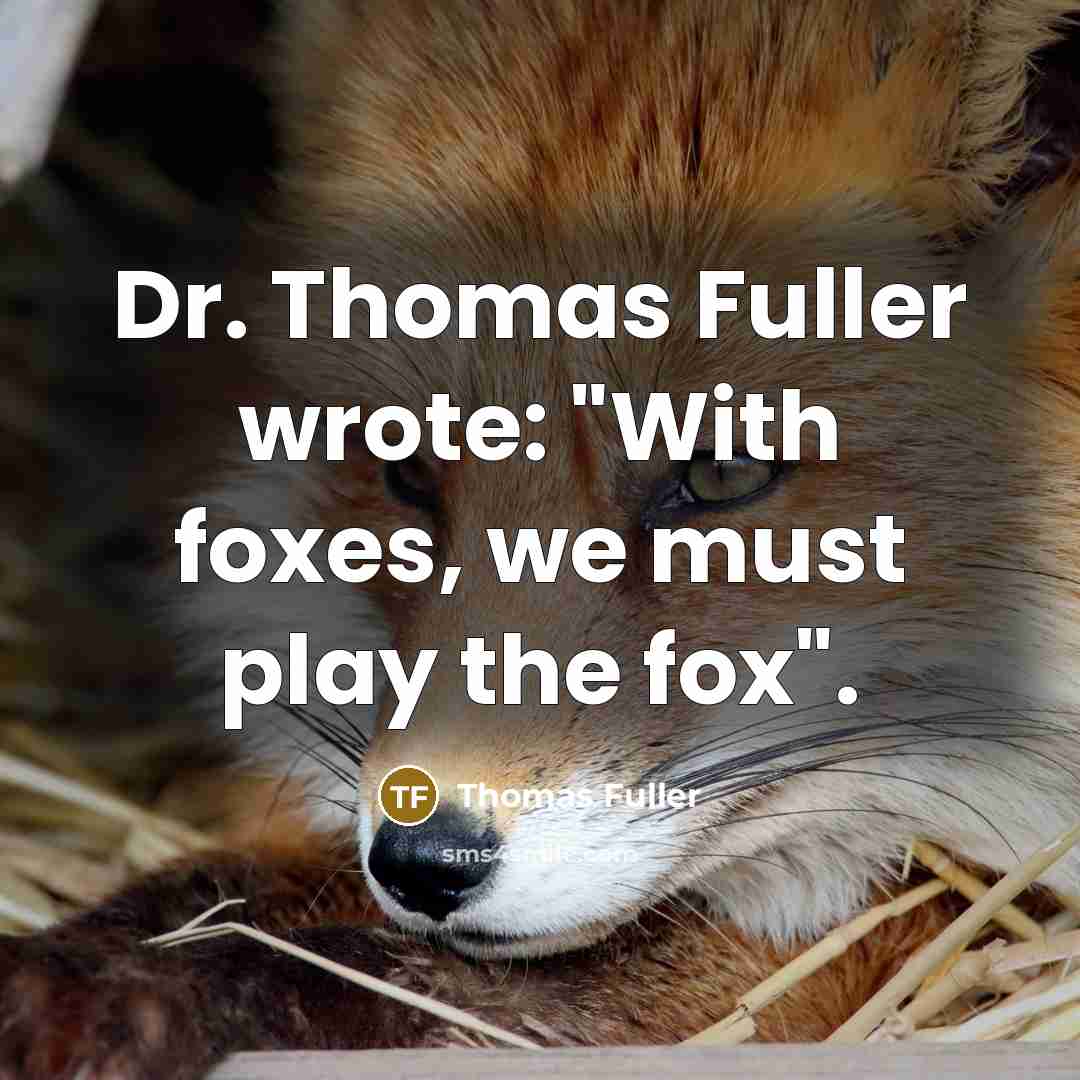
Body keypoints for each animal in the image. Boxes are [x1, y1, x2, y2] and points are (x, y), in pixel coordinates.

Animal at [3, 0, 1080, 1076]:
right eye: (406, 468)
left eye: (722, 476)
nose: (423, 859)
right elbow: (213, 896)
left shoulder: (861, 930)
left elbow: (387, 978)